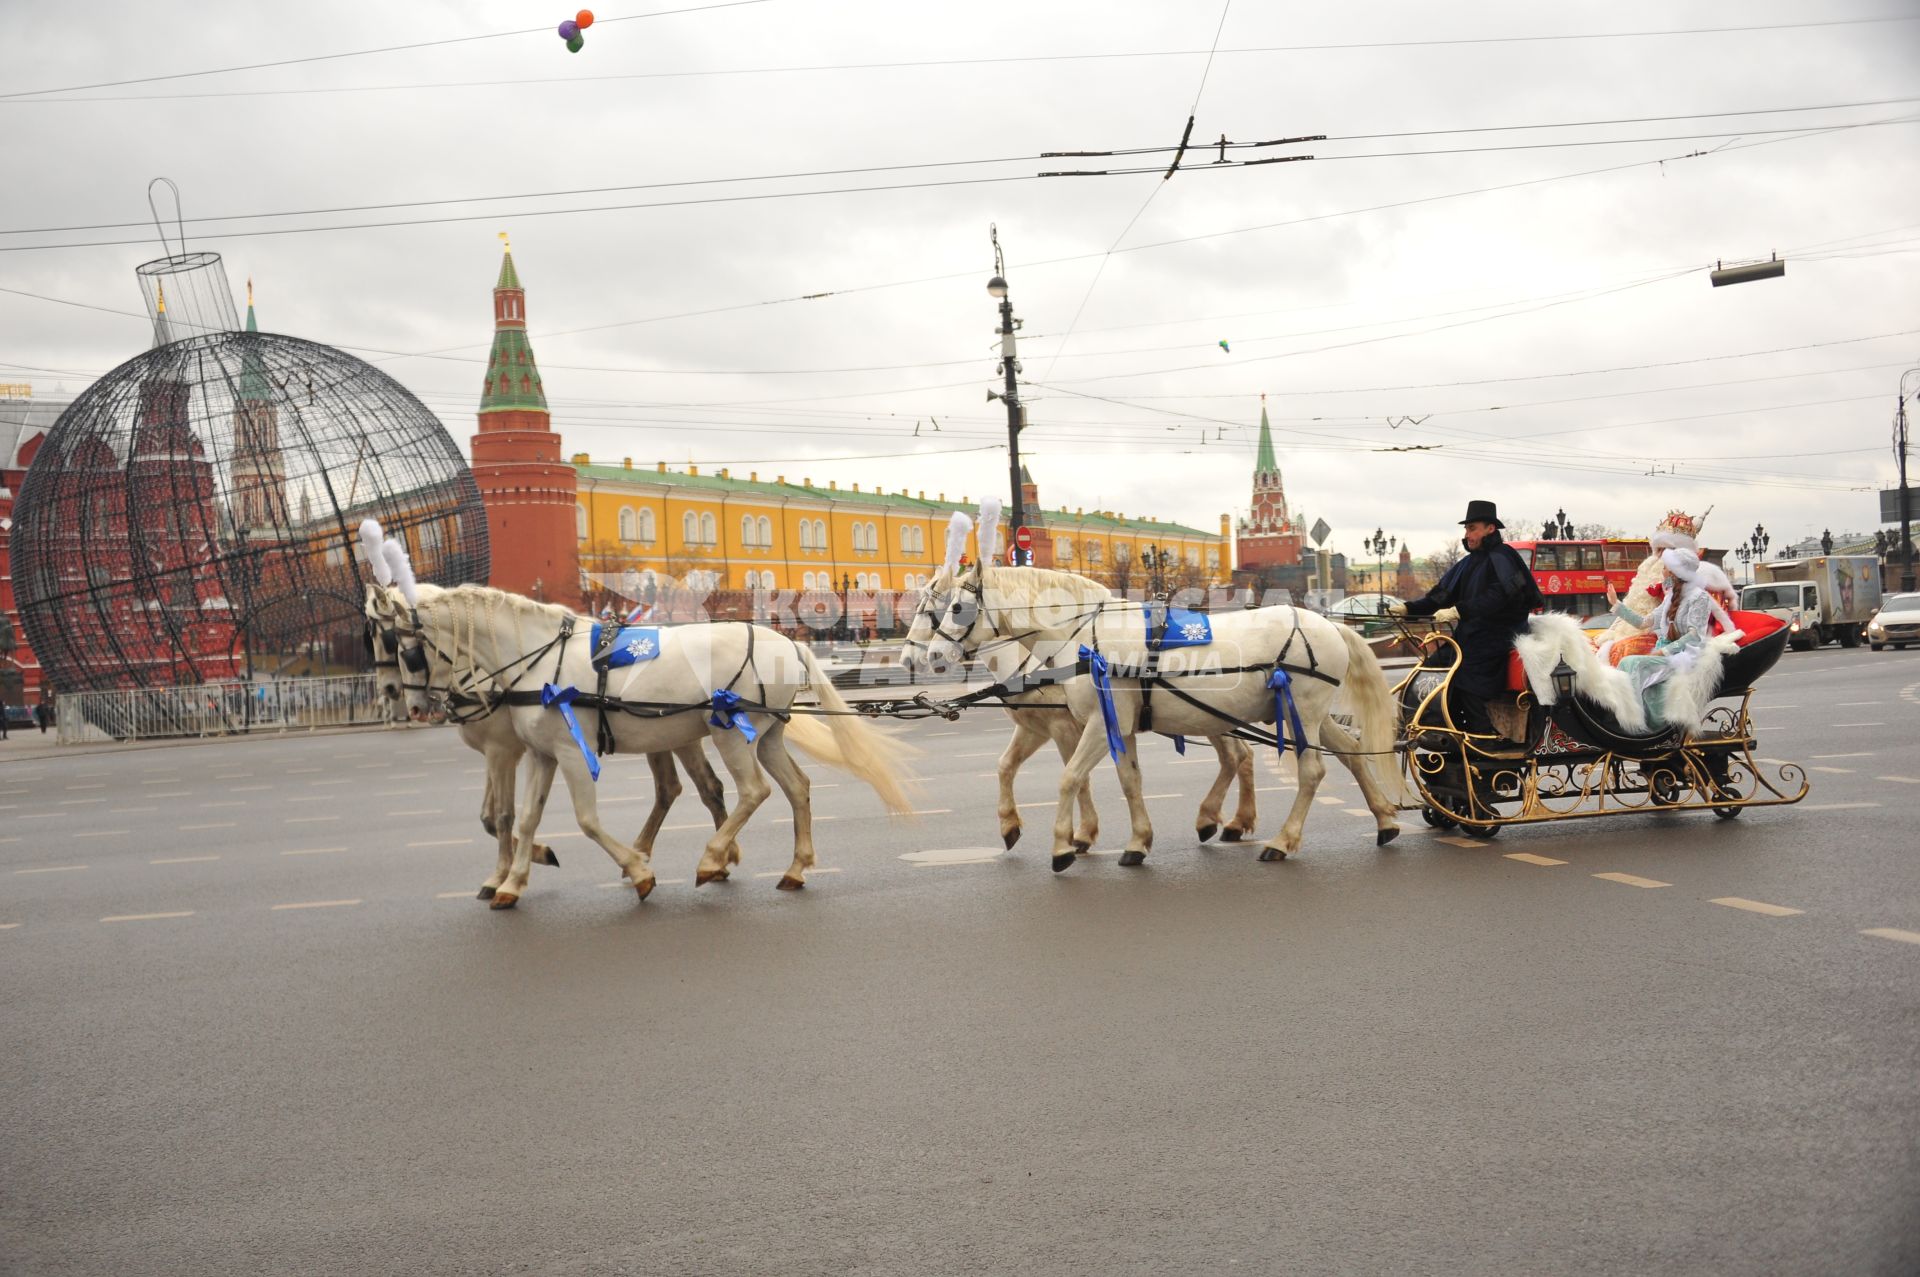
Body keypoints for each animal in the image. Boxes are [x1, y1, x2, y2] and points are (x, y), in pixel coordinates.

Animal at [368, 579, 921, 906]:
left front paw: (638, 871)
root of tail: (789, 642)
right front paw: (512, 882)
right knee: (795, 788)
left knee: (752, 792)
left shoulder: (566, 753)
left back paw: (713, 858)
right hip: (762, 738)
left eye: (398, 644)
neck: (537, 659)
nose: (401, 701)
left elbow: (585, 821)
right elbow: (523, 820)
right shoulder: (542, 755)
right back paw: (794, 868)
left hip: (728, 734)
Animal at [898, 564, 1413, 867]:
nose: (928, 656)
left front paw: (1064, 844)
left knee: (1310, 770)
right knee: (1347, 754)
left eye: (953, 607)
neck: (1083, 637)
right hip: (1306, 715)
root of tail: (1328, 624)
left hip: (1300, 712)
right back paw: (1384, 821)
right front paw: (1136, 841)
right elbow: (1127, 781)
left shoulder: (1088, 726)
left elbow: (1070, 778)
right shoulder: (1113, 725)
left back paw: (1281, 841)